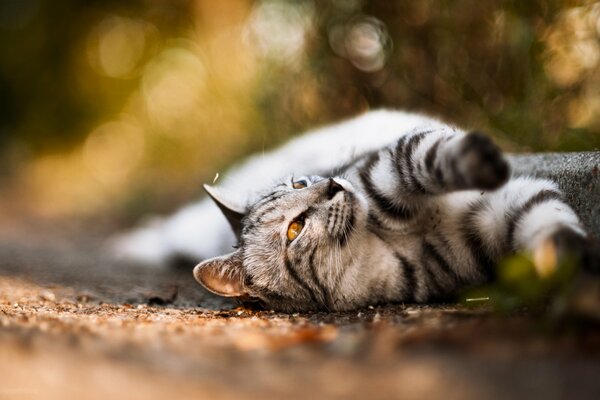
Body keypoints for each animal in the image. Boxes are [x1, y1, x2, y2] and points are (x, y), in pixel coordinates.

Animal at [112, 109, 596, 312]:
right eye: (295, 229)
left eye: (299, 184)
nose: (331, 183)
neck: (383, 241)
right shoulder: (495, 219)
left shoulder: (388, 165)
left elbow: (428, 158)